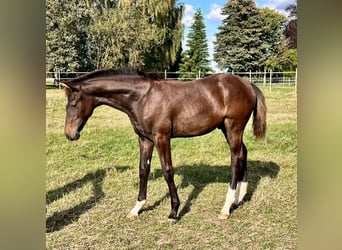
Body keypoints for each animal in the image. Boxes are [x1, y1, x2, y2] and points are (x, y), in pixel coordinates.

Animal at [60, 68, 266, 223]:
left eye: (73, 103)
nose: (70, 134)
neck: (142, 98)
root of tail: (247, 84)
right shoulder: (145, 140)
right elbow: (143, 170)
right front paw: (137, 208)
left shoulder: (162, 138)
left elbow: (168, 170)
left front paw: (174, 212)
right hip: (226, 128)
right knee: (243, 153)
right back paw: (239, 199)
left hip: (233, 127)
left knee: (236, 158)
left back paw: (226, 208)